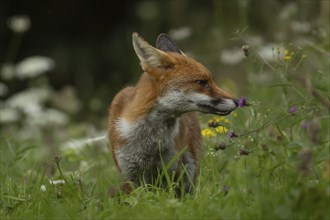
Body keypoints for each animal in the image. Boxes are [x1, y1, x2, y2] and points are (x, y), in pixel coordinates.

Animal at [108, 33, 237, 196]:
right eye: (201, 82)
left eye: (211, 80)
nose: (238, 101)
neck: (148, 141)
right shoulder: (131, 175)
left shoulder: (172, 170)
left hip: (190, 166)